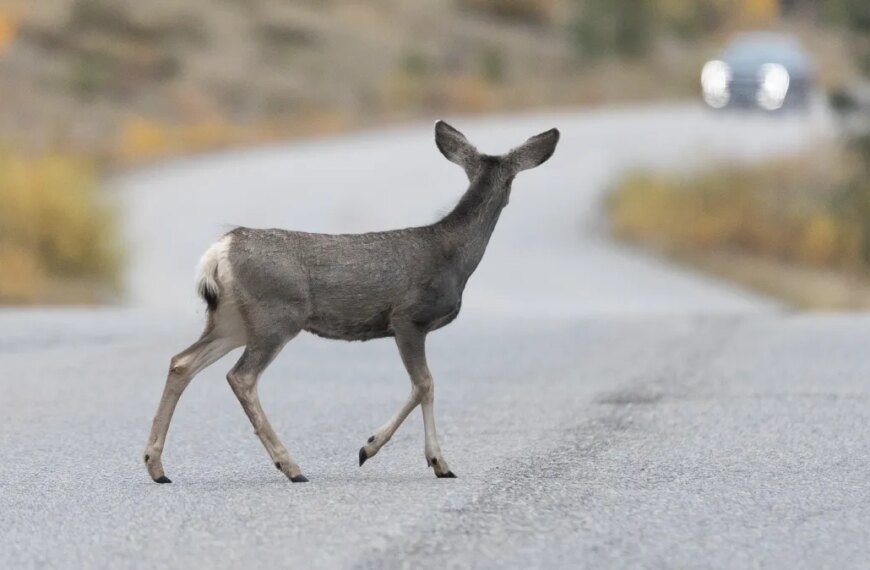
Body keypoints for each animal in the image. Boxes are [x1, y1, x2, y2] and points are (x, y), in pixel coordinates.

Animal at [143, 121, 559, 483]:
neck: (454, 257)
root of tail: (220, 250)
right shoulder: (408, 317)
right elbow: (425, 384)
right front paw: (417, 457)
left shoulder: (404, 325)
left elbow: (421, 385)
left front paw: (396, 452)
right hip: (276, 315)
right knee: (240, 376)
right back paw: (290, 466)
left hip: (232, 320)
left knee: (182, 362)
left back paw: (156, 466)